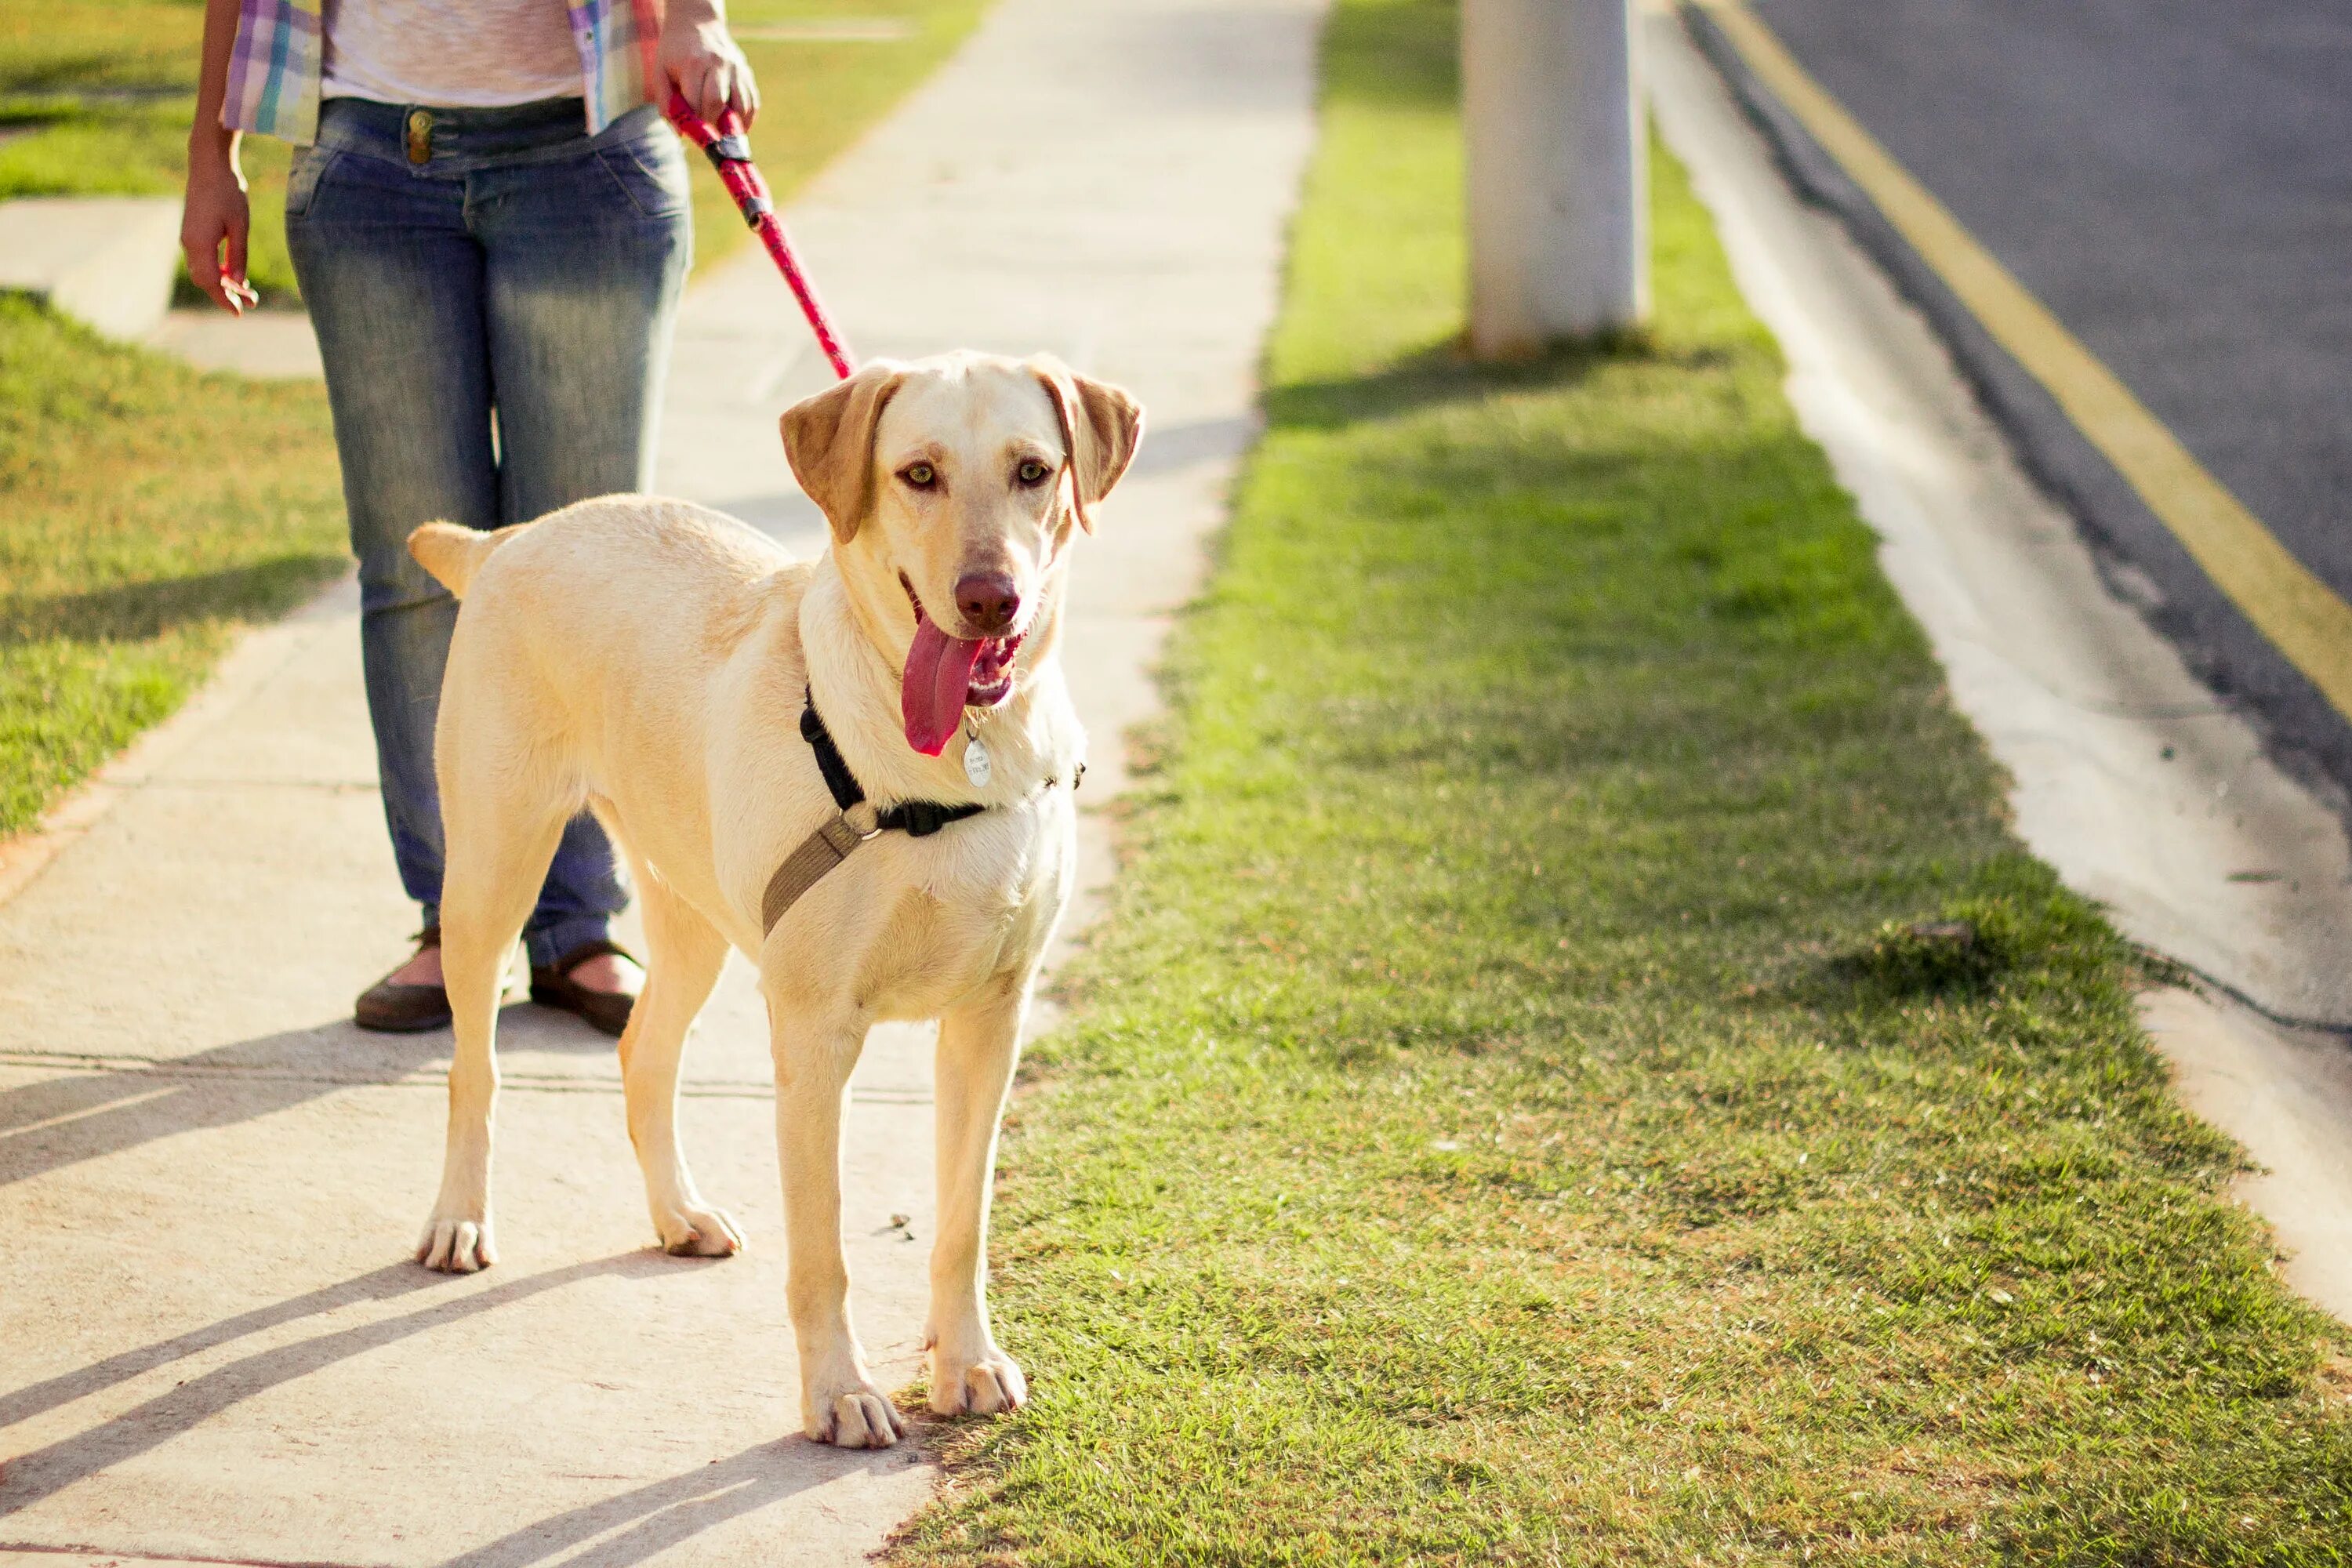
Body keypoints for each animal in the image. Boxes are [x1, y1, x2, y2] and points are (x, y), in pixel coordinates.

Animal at [402, 352, 1138, 1448]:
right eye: (918, 474)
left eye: (1034, 470)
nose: (989, 599)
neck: (958, 755)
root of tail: (512, 537)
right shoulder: (815, 1030)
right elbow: (823, 1248)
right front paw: (839, 1391)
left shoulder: (990, 1018)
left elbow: (962, 1222)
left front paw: (965, 1361)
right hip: (492, 872)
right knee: (473, 1068)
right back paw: (459, 1216)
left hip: (693, 911)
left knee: (643, 1051)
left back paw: (679, 1212)